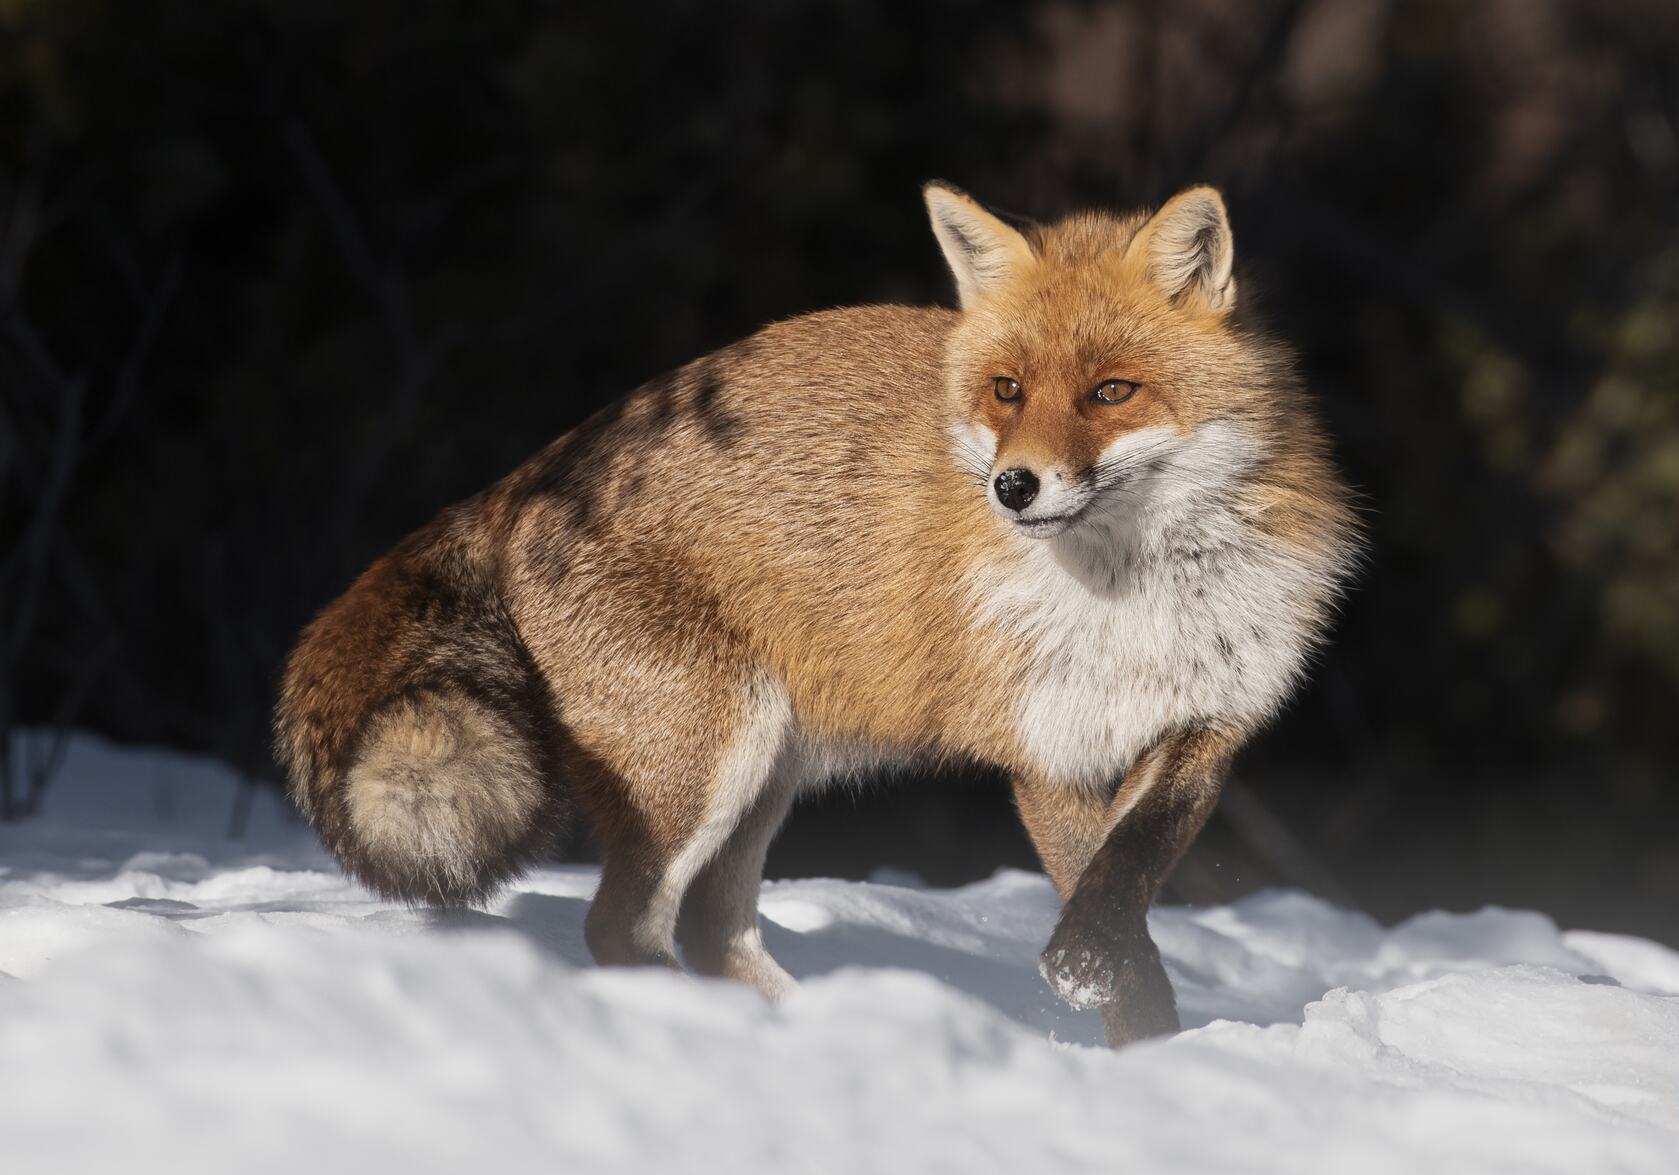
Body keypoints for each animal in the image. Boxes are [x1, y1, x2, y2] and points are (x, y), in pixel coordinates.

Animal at [271, 183, 1349, 1047]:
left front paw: (1148, 1043)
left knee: (708, 929)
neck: (1134, 599)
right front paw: (1143, 1053)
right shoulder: (1047, 751)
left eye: (1111, 391)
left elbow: (1126, 883)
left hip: (767, 770)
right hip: (702, 764)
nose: (1012, 486)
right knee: (620, 925)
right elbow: (1123, 937)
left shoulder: (1202, 725)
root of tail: (531, 475)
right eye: (1006, 390)